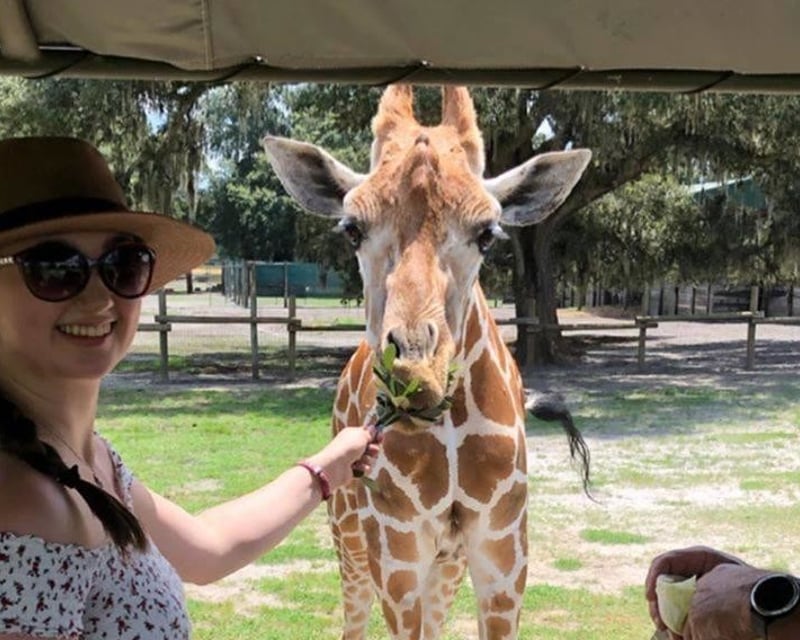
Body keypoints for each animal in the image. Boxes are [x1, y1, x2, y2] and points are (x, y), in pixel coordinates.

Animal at [262, 85, 591, 640]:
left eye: (487, 233)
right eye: (352, 229)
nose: (416, 376)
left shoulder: (504, 557)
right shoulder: (396, 557)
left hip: (445, 561)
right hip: (350, 536)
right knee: (353, 620)